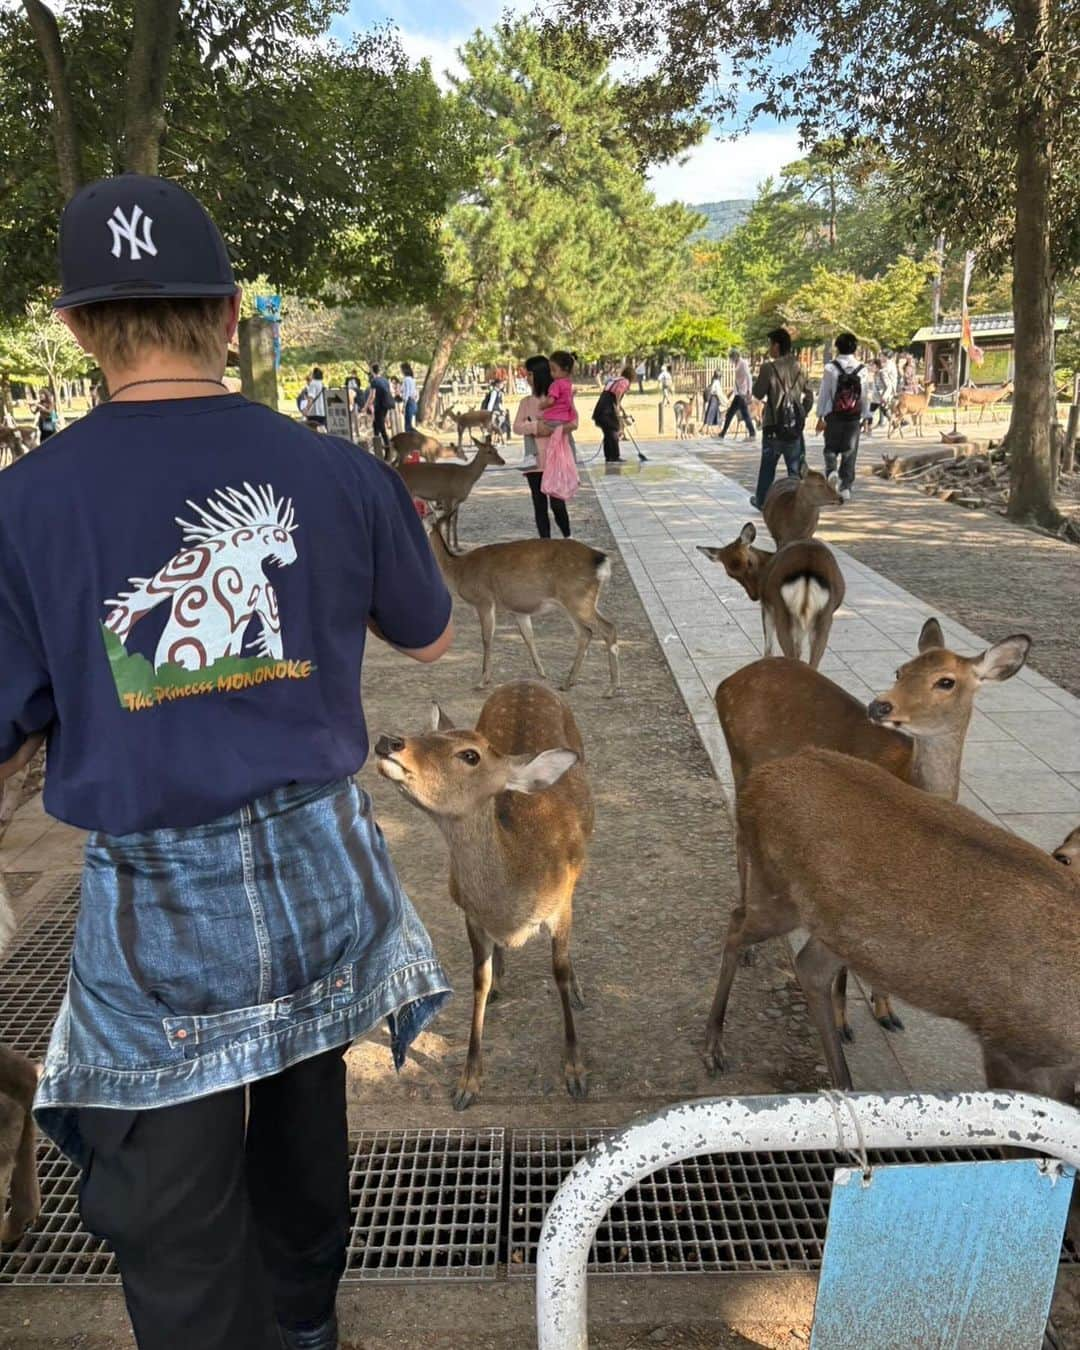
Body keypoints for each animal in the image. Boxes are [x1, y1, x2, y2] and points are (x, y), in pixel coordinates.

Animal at [372, 680, 591, 1112]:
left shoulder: (561, 905)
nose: (390, 741)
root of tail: (524, 681)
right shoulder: (469, 913)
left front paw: (575, 1071)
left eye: (470, 754)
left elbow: (557, 972)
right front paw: (467, 1083)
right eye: (429, 733)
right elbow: (479, 980)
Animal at [429, 521, 621, 696]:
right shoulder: (518, 609)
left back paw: (611, 689)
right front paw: (542, 672)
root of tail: (602, 561)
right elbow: (528, 636)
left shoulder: (484, 600)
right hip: (576, 603)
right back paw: (568, 683)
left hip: (579, 599)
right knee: (585, 633)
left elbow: (486, 638)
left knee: (608, 628)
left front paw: (483, 681)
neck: (457, 571)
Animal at [696, 526, 847, 675]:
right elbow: (798, 648)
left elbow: (768, 647)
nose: (754, 595)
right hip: (823, 616)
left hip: (782, 610)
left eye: (749, 562)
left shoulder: (767, 606)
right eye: (731, 574)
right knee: (811, 660)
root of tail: (808, 571)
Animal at [702, 618, 1031, 1063]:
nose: (881, 706)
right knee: (740, 846)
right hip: (740, 759)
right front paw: (844, 1023)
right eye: (900, 670)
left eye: (946, 681)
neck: (908, 776)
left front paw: (886, 1010)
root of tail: (728, 680)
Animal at [723, 750, 1080, 1107]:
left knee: (808, 966)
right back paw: (717, 1048)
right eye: (1063, 854)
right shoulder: (1011, 1047)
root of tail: (758, 779)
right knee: (736, 922)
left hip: (839, 928)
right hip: (777, 888)